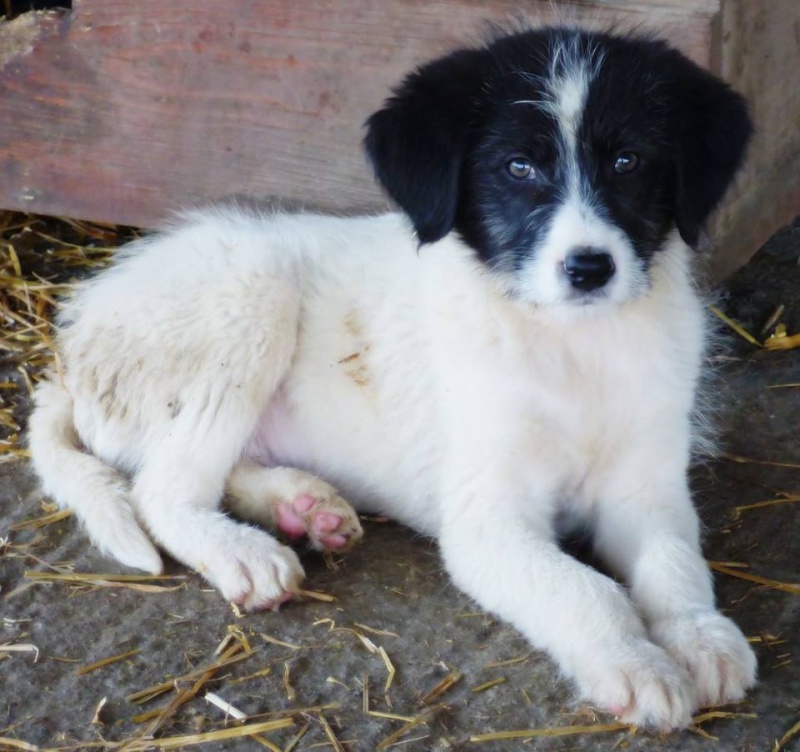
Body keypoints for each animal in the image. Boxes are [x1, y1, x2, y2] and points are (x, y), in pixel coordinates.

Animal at [28, 27, 756, 728]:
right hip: (252, 291)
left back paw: (302, 507)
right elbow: (586, 589)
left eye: (629, 162)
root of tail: (73, 344)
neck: (571, 344)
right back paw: (241, 551)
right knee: (161, 491)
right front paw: (636, 664)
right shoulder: (487, 521)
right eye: (518, 167)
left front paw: (700, 638)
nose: (590, 268)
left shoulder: (647, 491)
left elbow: (675, 563)